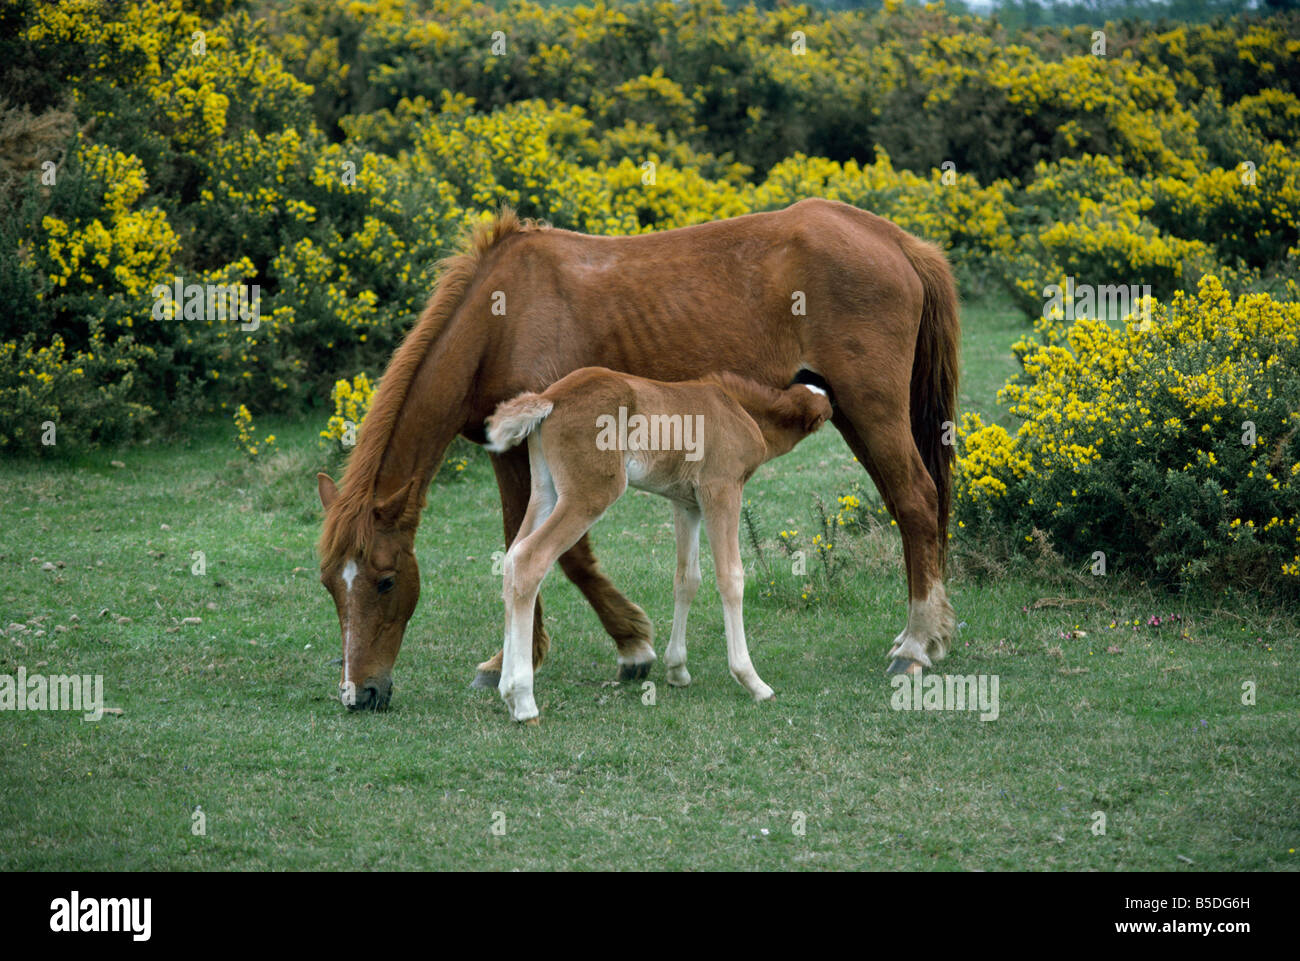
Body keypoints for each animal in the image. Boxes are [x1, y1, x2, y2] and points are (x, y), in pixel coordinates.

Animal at [483, 366, 834, 722]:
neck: (739, 407)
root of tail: (550, 397)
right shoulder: (720, 490)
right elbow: (731, 577)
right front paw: (753, 681)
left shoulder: (686, 503)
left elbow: (687, 579)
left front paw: (677, 670)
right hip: (590, 493)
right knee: (529, 560)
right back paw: (524, 701)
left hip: (546, 491)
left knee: (511, 559)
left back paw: (508, 691)